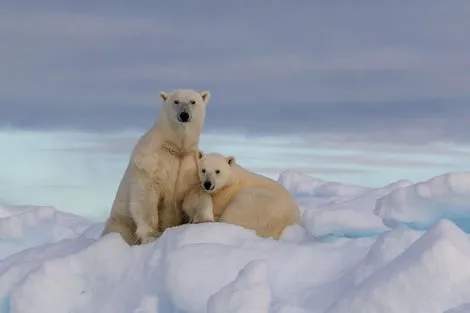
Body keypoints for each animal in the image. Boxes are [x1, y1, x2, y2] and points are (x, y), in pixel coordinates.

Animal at [101, 88, 211, 244]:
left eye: (193, 101)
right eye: (176, 101)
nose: (184, 115)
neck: (176, 148)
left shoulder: (190, 164)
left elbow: (195, 192)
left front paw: (203, 221)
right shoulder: (151, 160)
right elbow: (146, 195)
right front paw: (152, 235)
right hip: (121, 220)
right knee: (119, 229)